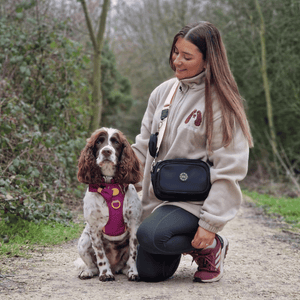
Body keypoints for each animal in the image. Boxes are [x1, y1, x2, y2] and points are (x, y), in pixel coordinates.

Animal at [75, 127, 144, 282]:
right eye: (99, 141)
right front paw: (105, 273)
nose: (106, 151)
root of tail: (115, 266)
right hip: (83, 241)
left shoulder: (133, 223)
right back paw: (88, 272)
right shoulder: (94, 227)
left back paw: (125, 270)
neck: (109, 186)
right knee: (92, 265)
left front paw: (133, 272)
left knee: (124, 264)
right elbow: (100, 254)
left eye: (115, 142)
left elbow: (133, 253)